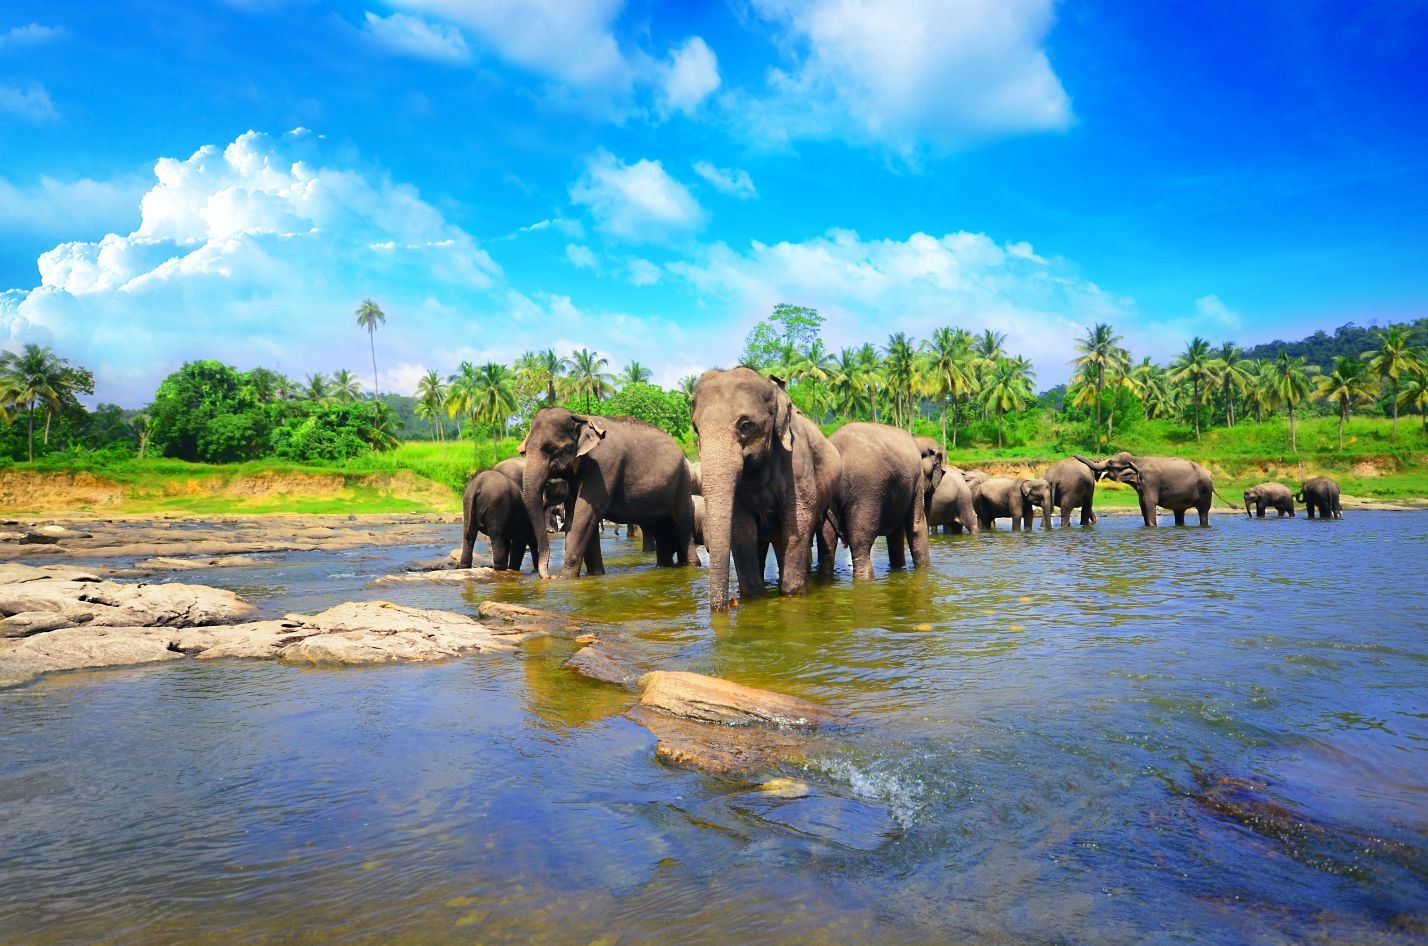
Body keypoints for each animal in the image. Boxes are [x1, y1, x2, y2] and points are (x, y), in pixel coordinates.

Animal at [518, 408, 698, 579]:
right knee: (661, 530)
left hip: (683, 483)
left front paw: (564, 578)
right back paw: (664, 567)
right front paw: (595, 575)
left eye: (551, 449)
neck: (580, 418)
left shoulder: (603, 465)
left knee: (682, 524)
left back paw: (692, 565)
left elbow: (586, 513)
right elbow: (574, 516)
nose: (548, 576)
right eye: (524, 452)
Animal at [691, 367, 842, 611]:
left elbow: (798, 520)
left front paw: (791, 594)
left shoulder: (798, 461)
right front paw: (752, 597)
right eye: (696, 429)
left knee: (820, 533)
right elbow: (742, 529)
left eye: (745, 425)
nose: (729, 605)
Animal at [824, 422, 931, 579]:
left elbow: (896, 534)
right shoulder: (917, 480)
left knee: (827, 541)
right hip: (867, 490)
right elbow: (916, 526)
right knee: (861, 543)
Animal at [1076, 452, 1214, 526]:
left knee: (1203, 511)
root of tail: (1209, 473)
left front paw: (1152, 526)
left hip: (1205, 490)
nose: (1074, 455)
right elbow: (1142, 503)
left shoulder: (1150, 480)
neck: (1137, 460)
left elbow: (1149, 502)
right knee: (1179, 511)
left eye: (1110, 462)